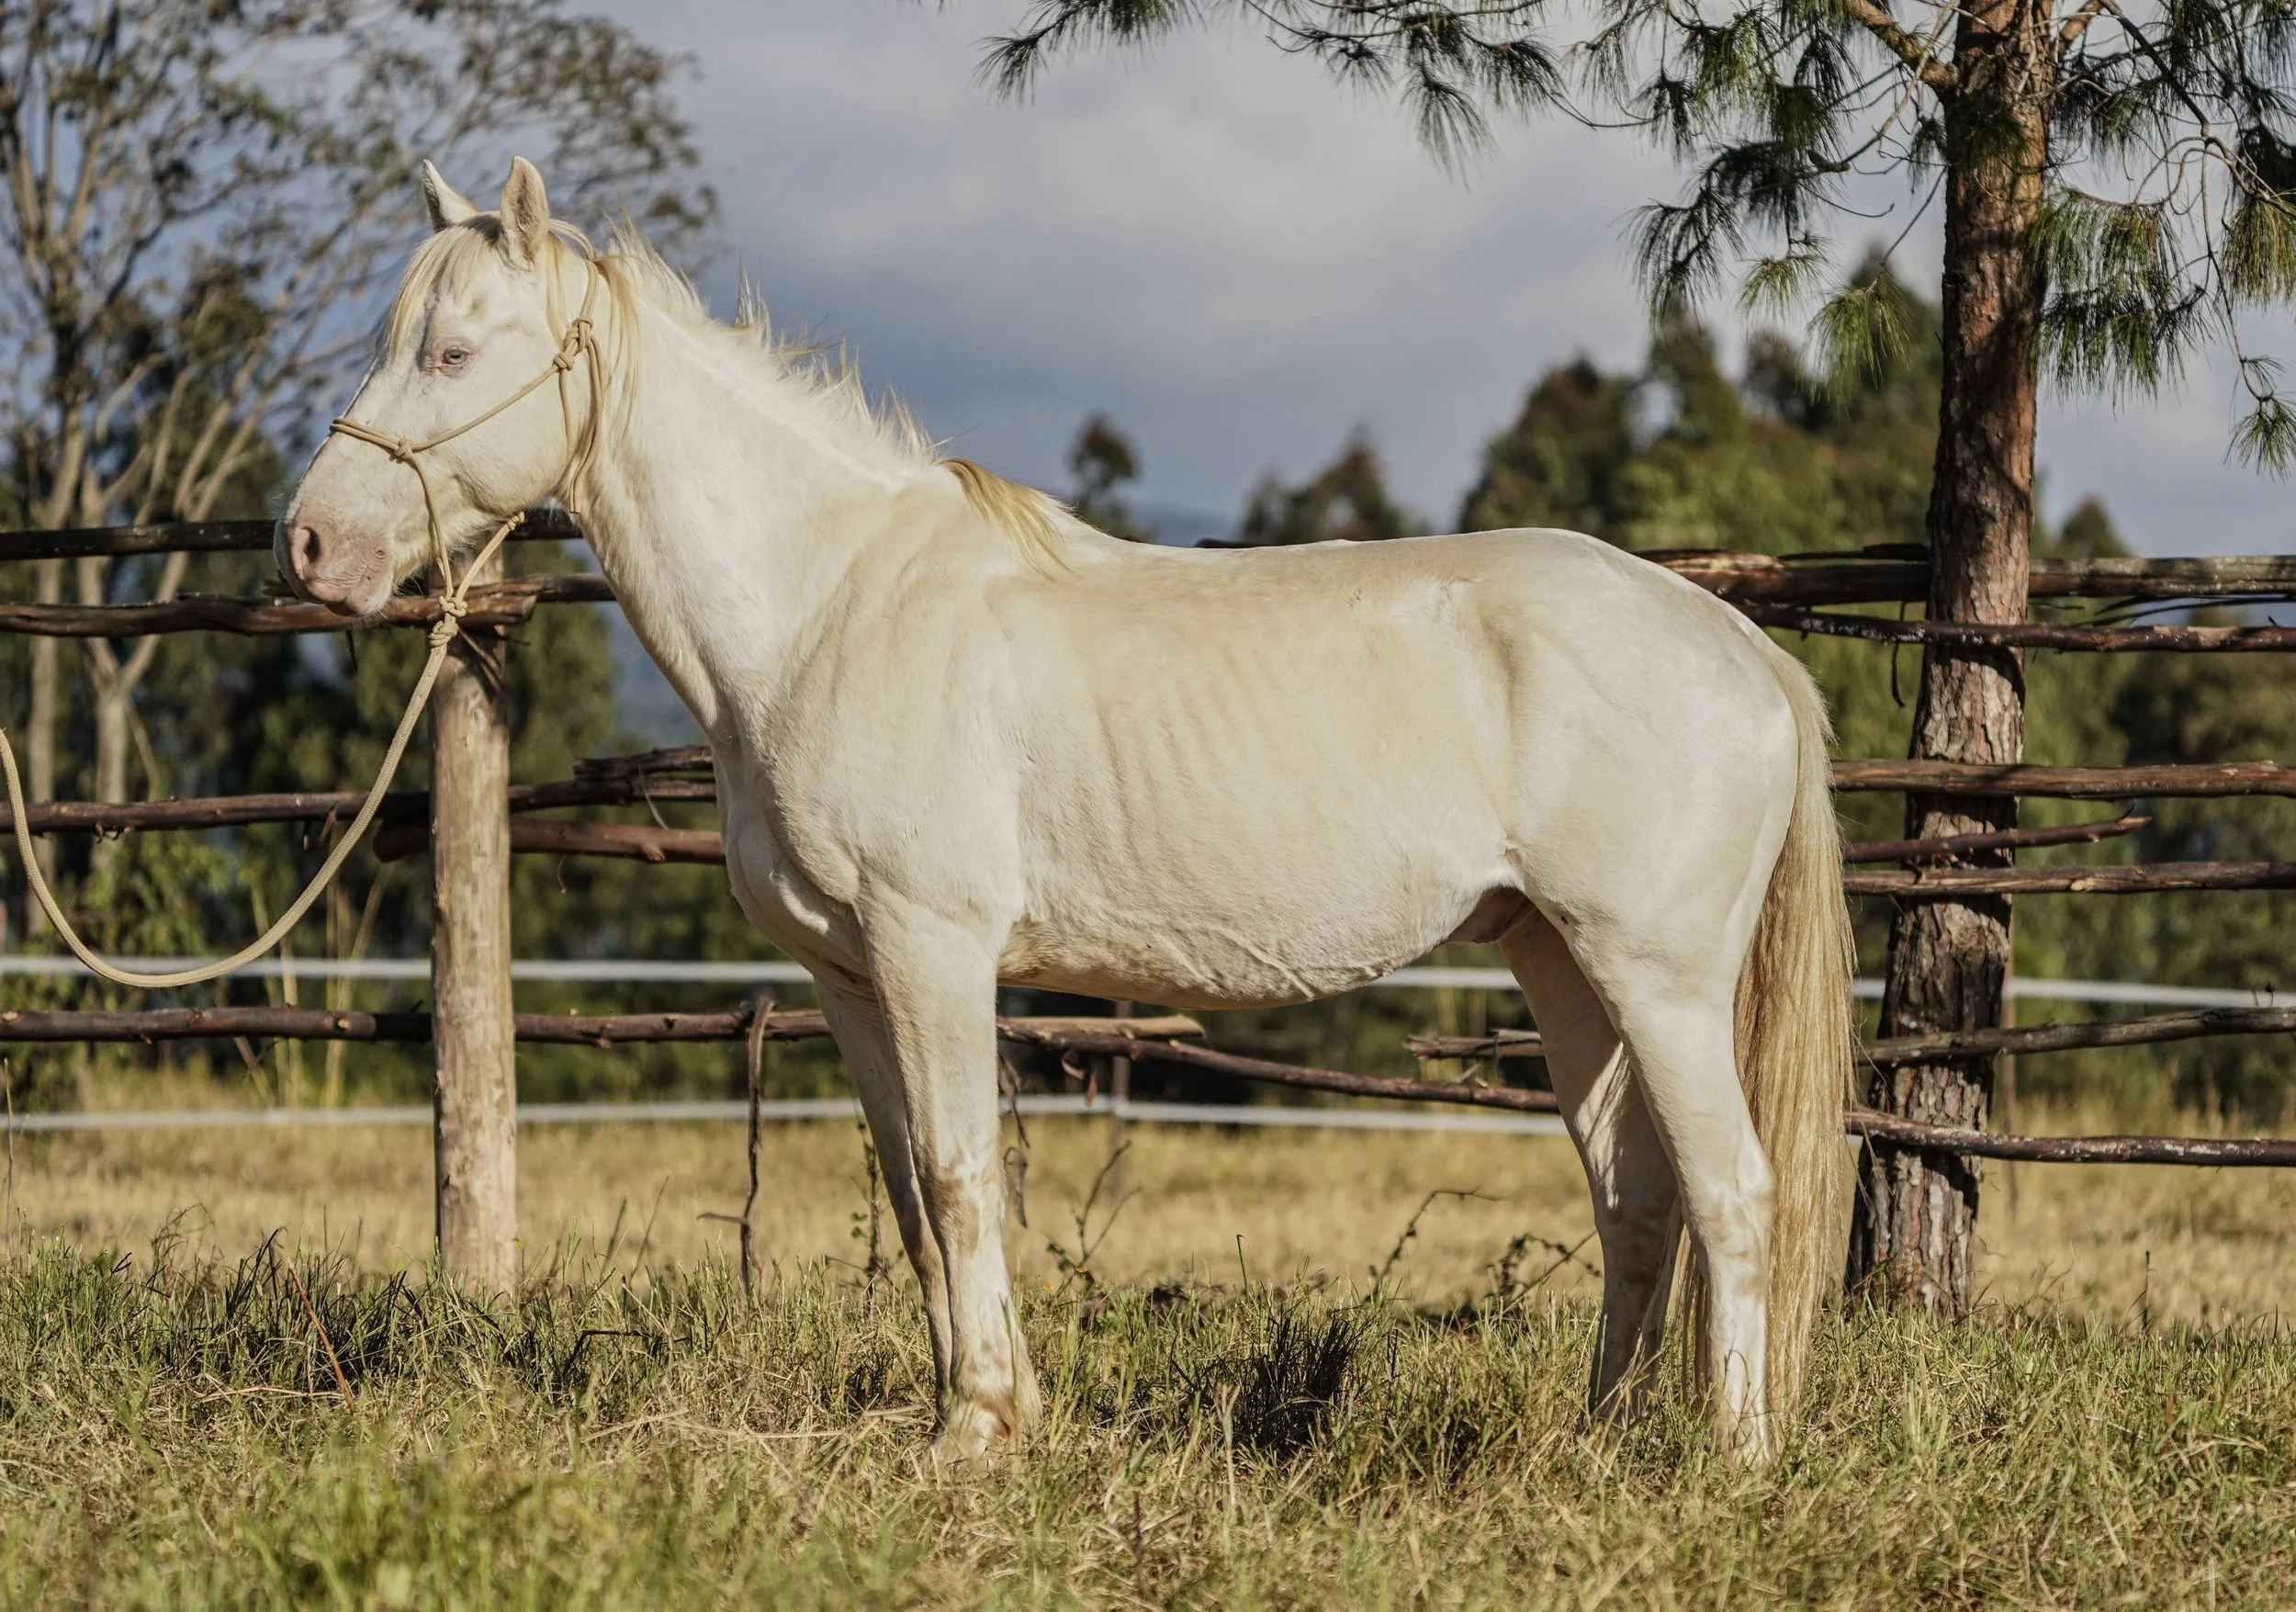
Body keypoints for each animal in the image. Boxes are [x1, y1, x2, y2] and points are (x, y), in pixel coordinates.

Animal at [278, 157, 1855, 1463]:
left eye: (452, 348)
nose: (308, 543)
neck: (827, 604)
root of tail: (1738, 645)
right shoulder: (849, 974)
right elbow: (915, 1195)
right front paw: (977, 1406)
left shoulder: (936, 950)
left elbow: (965, 1171)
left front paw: (975, 1430)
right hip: (1559, 963)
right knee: (1638, 1197)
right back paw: (1590, 1445)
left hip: (1659, 977)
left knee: (1736, 1190)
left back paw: (1731, 1458)